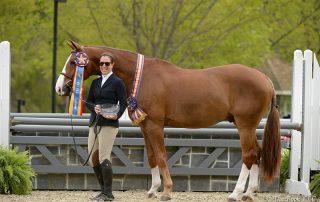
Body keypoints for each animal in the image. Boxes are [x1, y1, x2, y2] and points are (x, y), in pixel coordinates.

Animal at [56, 40, 282, 200]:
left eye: (74, 62)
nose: (60, 88)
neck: (142, 76)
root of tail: (266, 79)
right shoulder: (145, 127)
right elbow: (152, 157)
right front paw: (153, 190)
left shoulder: (155, 126)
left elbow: (162, 156)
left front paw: (166, 191)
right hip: (247, 126)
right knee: (257, 153)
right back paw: (249, 193)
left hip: (245, 126)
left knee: (249, 155)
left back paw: (235, 194)